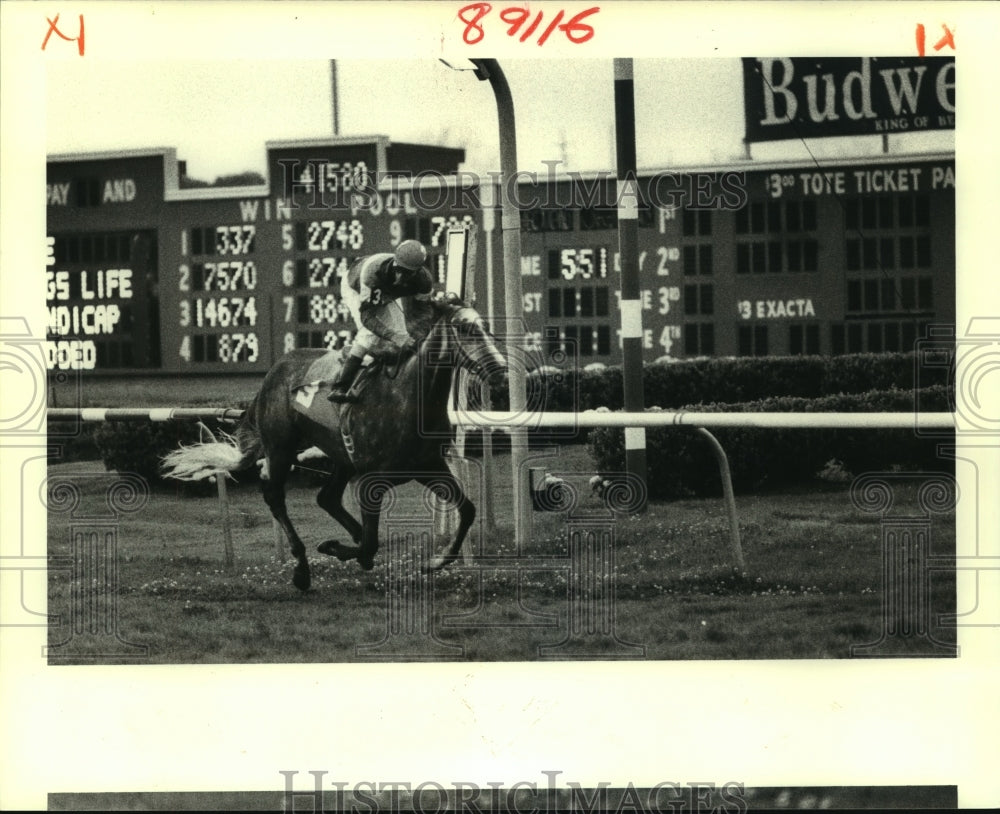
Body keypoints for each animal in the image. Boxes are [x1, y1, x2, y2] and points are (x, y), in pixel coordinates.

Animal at [167, 296, 508, 588]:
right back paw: (302, 569)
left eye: (485, 327)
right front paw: (334, 547)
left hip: (341, 455)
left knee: (327, 497)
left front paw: (436, 561)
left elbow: (468, 511)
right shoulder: (372, 481)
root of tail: (274, 372)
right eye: (465, 328)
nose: (501, 374)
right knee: (275, 495)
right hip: (280, 449)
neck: (408, 399)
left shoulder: (428, 466)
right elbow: (371, 545)